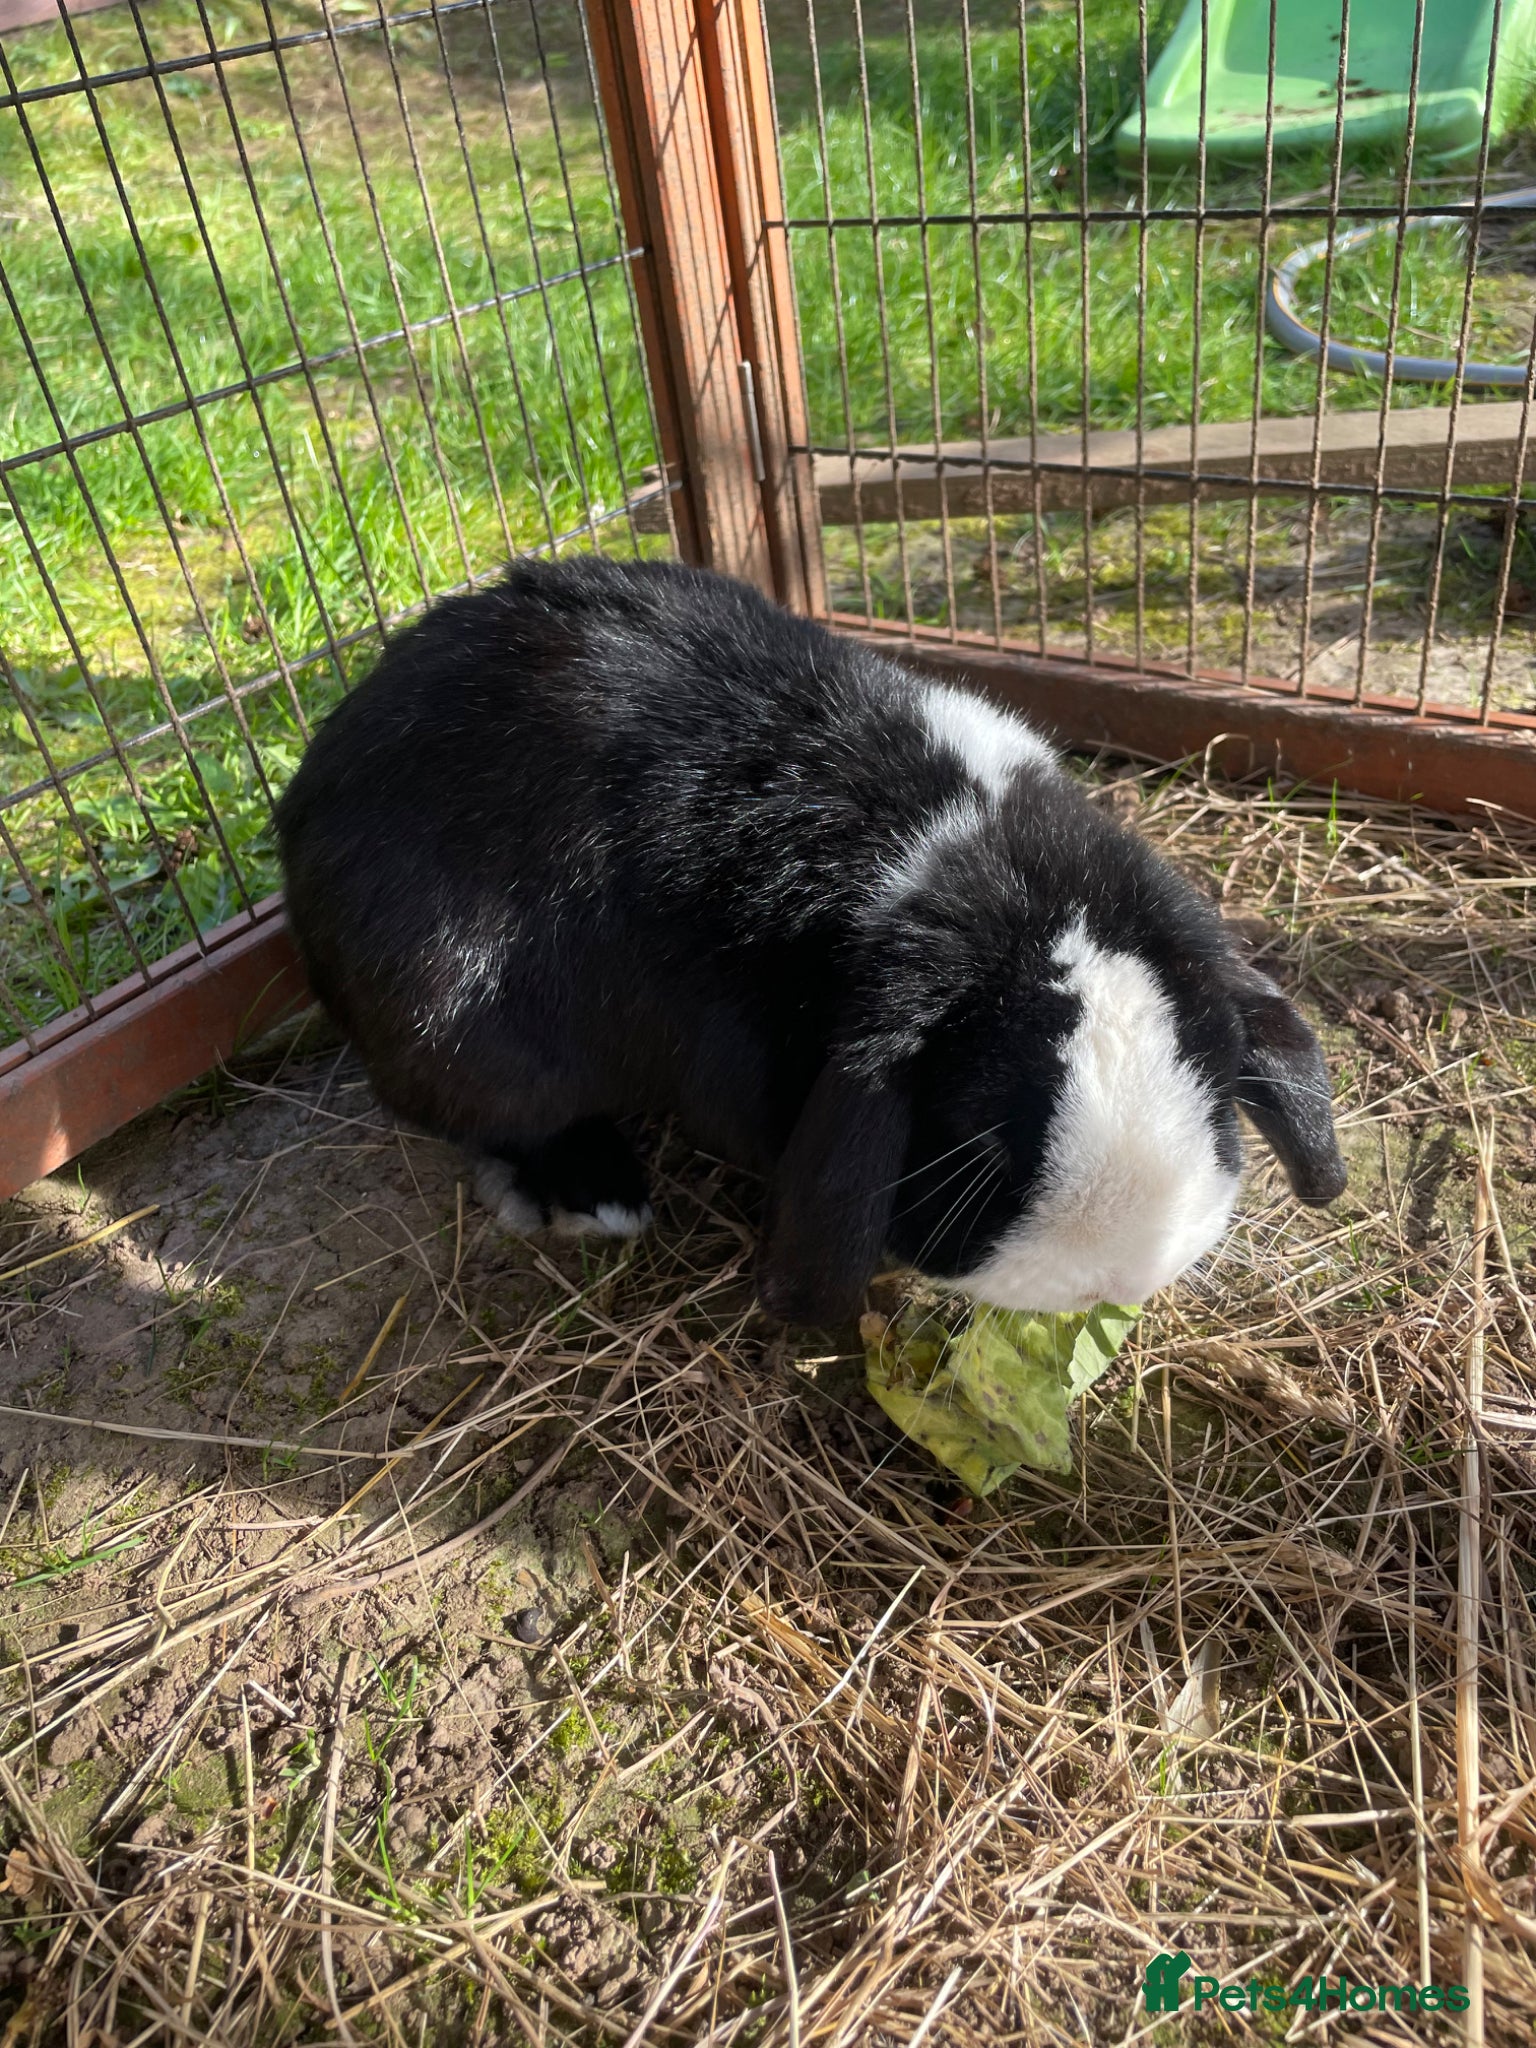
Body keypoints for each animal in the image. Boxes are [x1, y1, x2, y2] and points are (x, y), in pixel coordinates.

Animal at [275, 555, 1346, 1325]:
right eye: (979, 1151)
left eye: (1215, 1095)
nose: (1115, 1283)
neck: (966, 869)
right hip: (448, 1018)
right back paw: (597, 1197)